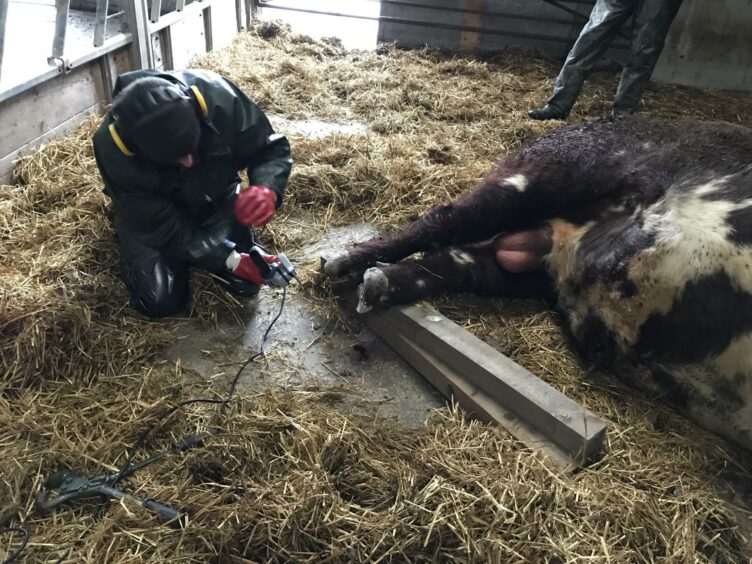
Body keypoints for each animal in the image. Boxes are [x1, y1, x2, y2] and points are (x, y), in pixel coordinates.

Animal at [322, 117, 752, 452]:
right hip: (553, 170)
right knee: (444, 218)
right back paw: (338, 263)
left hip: (531, 269)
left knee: (462, 263)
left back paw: (375, 284)